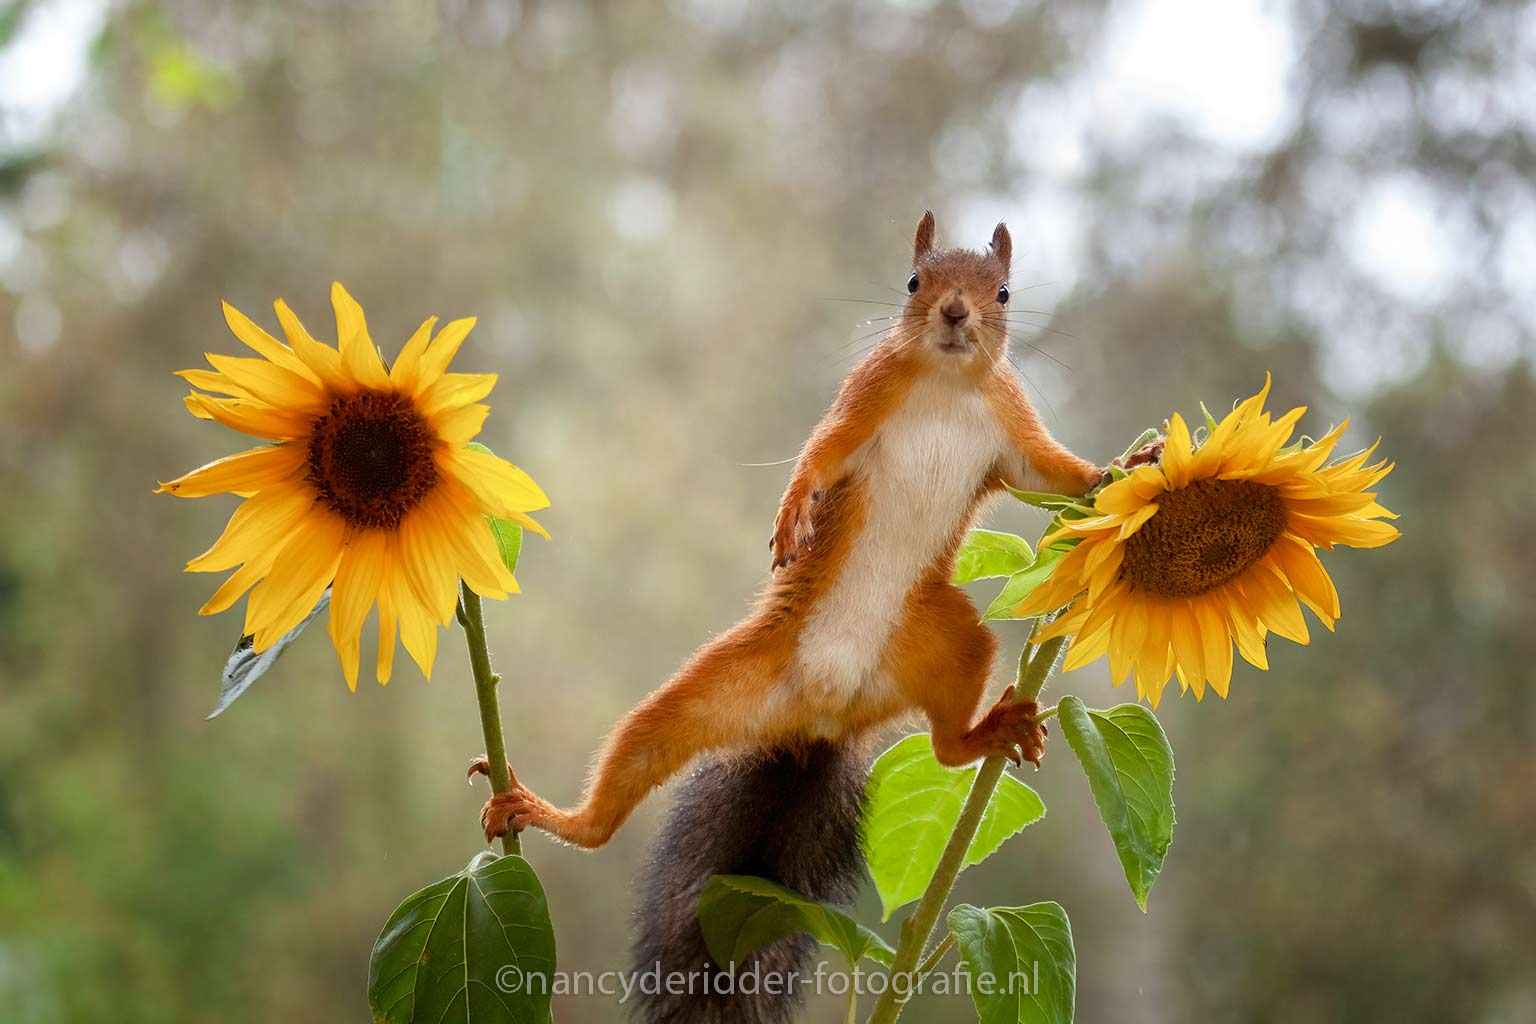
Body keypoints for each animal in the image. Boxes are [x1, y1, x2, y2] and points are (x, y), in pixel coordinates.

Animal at [470, 212, 1109, 1024]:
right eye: (914, 281)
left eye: (1002, 292)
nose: (954, 313)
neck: (944, 383)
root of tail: (822, 722)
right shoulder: (866, 396)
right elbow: (822, 452)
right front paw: (791, 511)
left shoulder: (1013, 427)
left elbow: (1056, 474)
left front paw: (1123, 470)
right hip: (712, 691)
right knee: (629, 771)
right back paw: (548, 814)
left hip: (949, 639)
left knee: (945, 748)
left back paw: (988, 732)